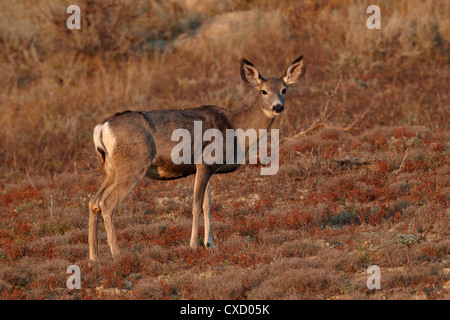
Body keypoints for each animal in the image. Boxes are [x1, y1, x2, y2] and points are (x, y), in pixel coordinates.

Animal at [89, 55, 306, 262]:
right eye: (263, 91)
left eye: (284, 89)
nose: (278, 107)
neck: (236, 128)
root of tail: (101, 128)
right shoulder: (205, 161)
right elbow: (195, 203)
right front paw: (193, 244)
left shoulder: (204, 168)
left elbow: (207, 204)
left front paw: (211, 244)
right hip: (133, 166)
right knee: (107, 204)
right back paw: (118, 255)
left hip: (110, 169)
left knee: (94, 201)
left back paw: (94, 257)